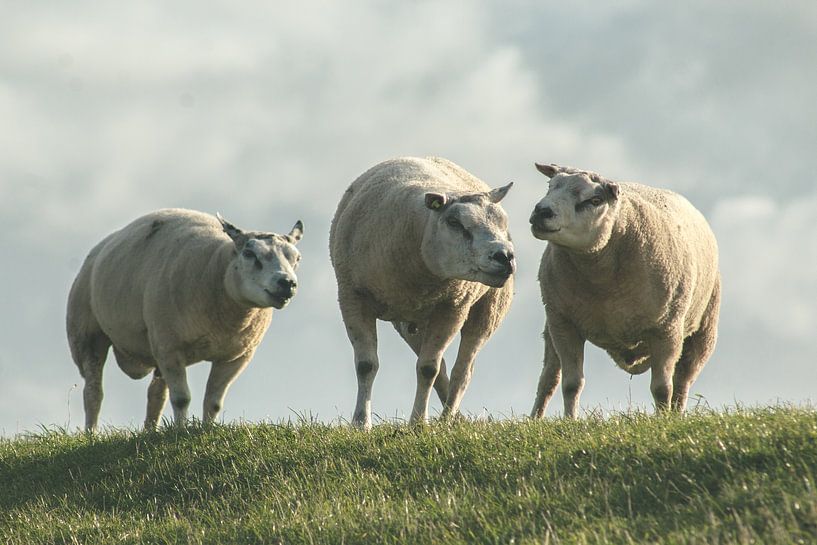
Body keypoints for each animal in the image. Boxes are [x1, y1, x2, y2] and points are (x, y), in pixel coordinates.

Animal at [66, 208, 303, 431]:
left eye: (297, 258)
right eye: (249, 253)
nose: (287, 283)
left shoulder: (236, 356)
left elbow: (213, 402)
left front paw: (207, 429)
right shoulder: (170, 347)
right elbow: (181, 399)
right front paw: (180, 431)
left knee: (156, 393)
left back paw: (150, 431)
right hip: (86, 334)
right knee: (93, 393)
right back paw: (91, 434)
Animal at [329, 156, 516, 429]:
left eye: (503, 222)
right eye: (454, 222)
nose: (504, 256)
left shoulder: (452, 306)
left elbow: (428, 369)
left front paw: (418, 423)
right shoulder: (352, 296)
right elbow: (366, 365)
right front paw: (361, 423)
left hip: (489, 308)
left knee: (462, 370)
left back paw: (447, 419)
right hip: (411, 324)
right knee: (445, 369)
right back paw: (453, 418)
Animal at [528, 163, 720, 418]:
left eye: (595, 199)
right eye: (550, 186)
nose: (541, 211)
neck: (601, 281)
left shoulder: (667, 328)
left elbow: (662, 388)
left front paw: (662, 420)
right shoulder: (564, 323)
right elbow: (571, 383)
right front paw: (570, 421)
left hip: (703, 331)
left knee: (682, 382)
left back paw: (676, 415)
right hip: (552, 328)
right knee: (548, 379)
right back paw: (535, 419)